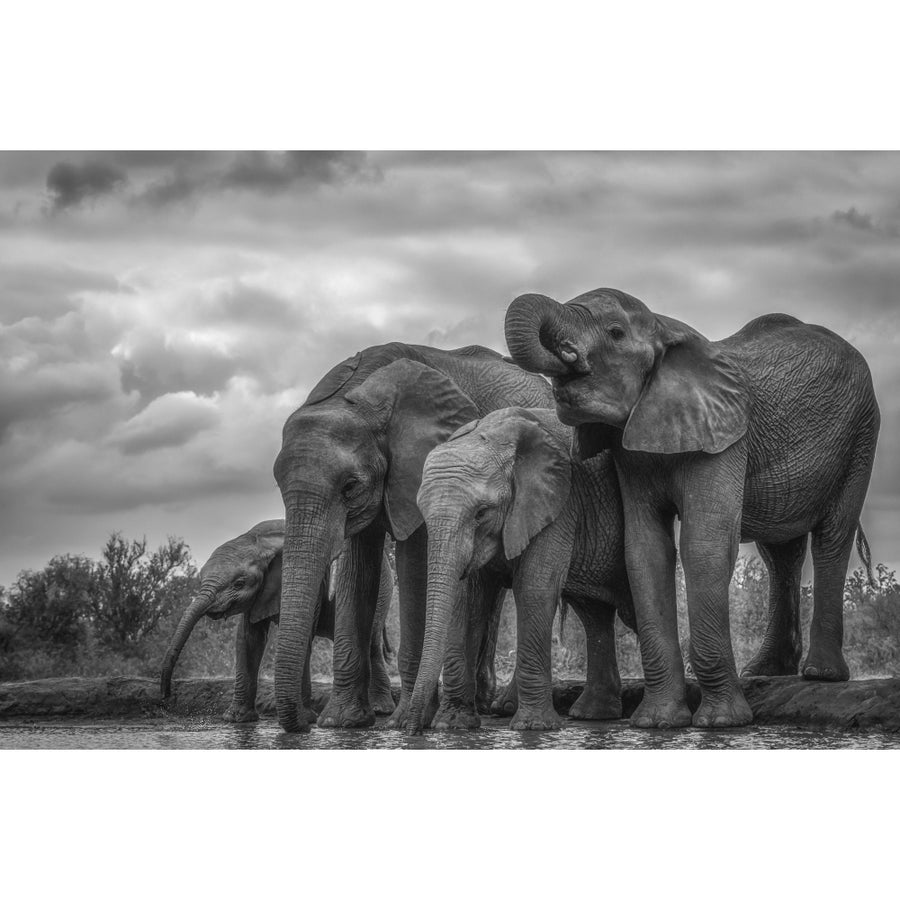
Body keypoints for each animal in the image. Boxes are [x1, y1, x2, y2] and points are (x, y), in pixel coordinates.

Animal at [157, 520, 394, 724]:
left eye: (239, 583)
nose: (165, 698)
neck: (257, 540)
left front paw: (305, 718)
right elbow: (248, 638)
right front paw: (235, 719)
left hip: (382, 588)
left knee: (371, 644)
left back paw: (380, 709)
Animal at [272, 342, 556, 732]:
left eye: (350, 486)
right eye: (278, 484)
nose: (304, 718)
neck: (358, 396)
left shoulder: (421, 468)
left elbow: (415, 571)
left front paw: (403, 720)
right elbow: (357, 573)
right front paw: (340, 722)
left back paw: (502, 708)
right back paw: (483, 705)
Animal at [406, 408, 632, 732]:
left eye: (481, 513)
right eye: (422, 512)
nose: (413, 732)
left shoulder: (560, 502)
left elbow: (534, 586)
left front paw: (533, 727)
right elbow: (467, 598)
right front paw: (453, 725)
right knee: (594, 613)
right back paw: (592, 715)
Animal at [506, 292, 880, 728]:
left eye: (615, 333)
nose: (568, 354)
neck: (665, 327)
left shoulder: (726, 435)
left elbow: (704, 545)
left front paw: (721, 723)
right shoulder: (631, 452)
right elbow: (645, 551)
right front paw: (658, 723)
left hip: (863, 433)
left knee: (832, 536)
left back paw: (821, 674)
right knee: (781, 551)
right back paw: (765, 670)